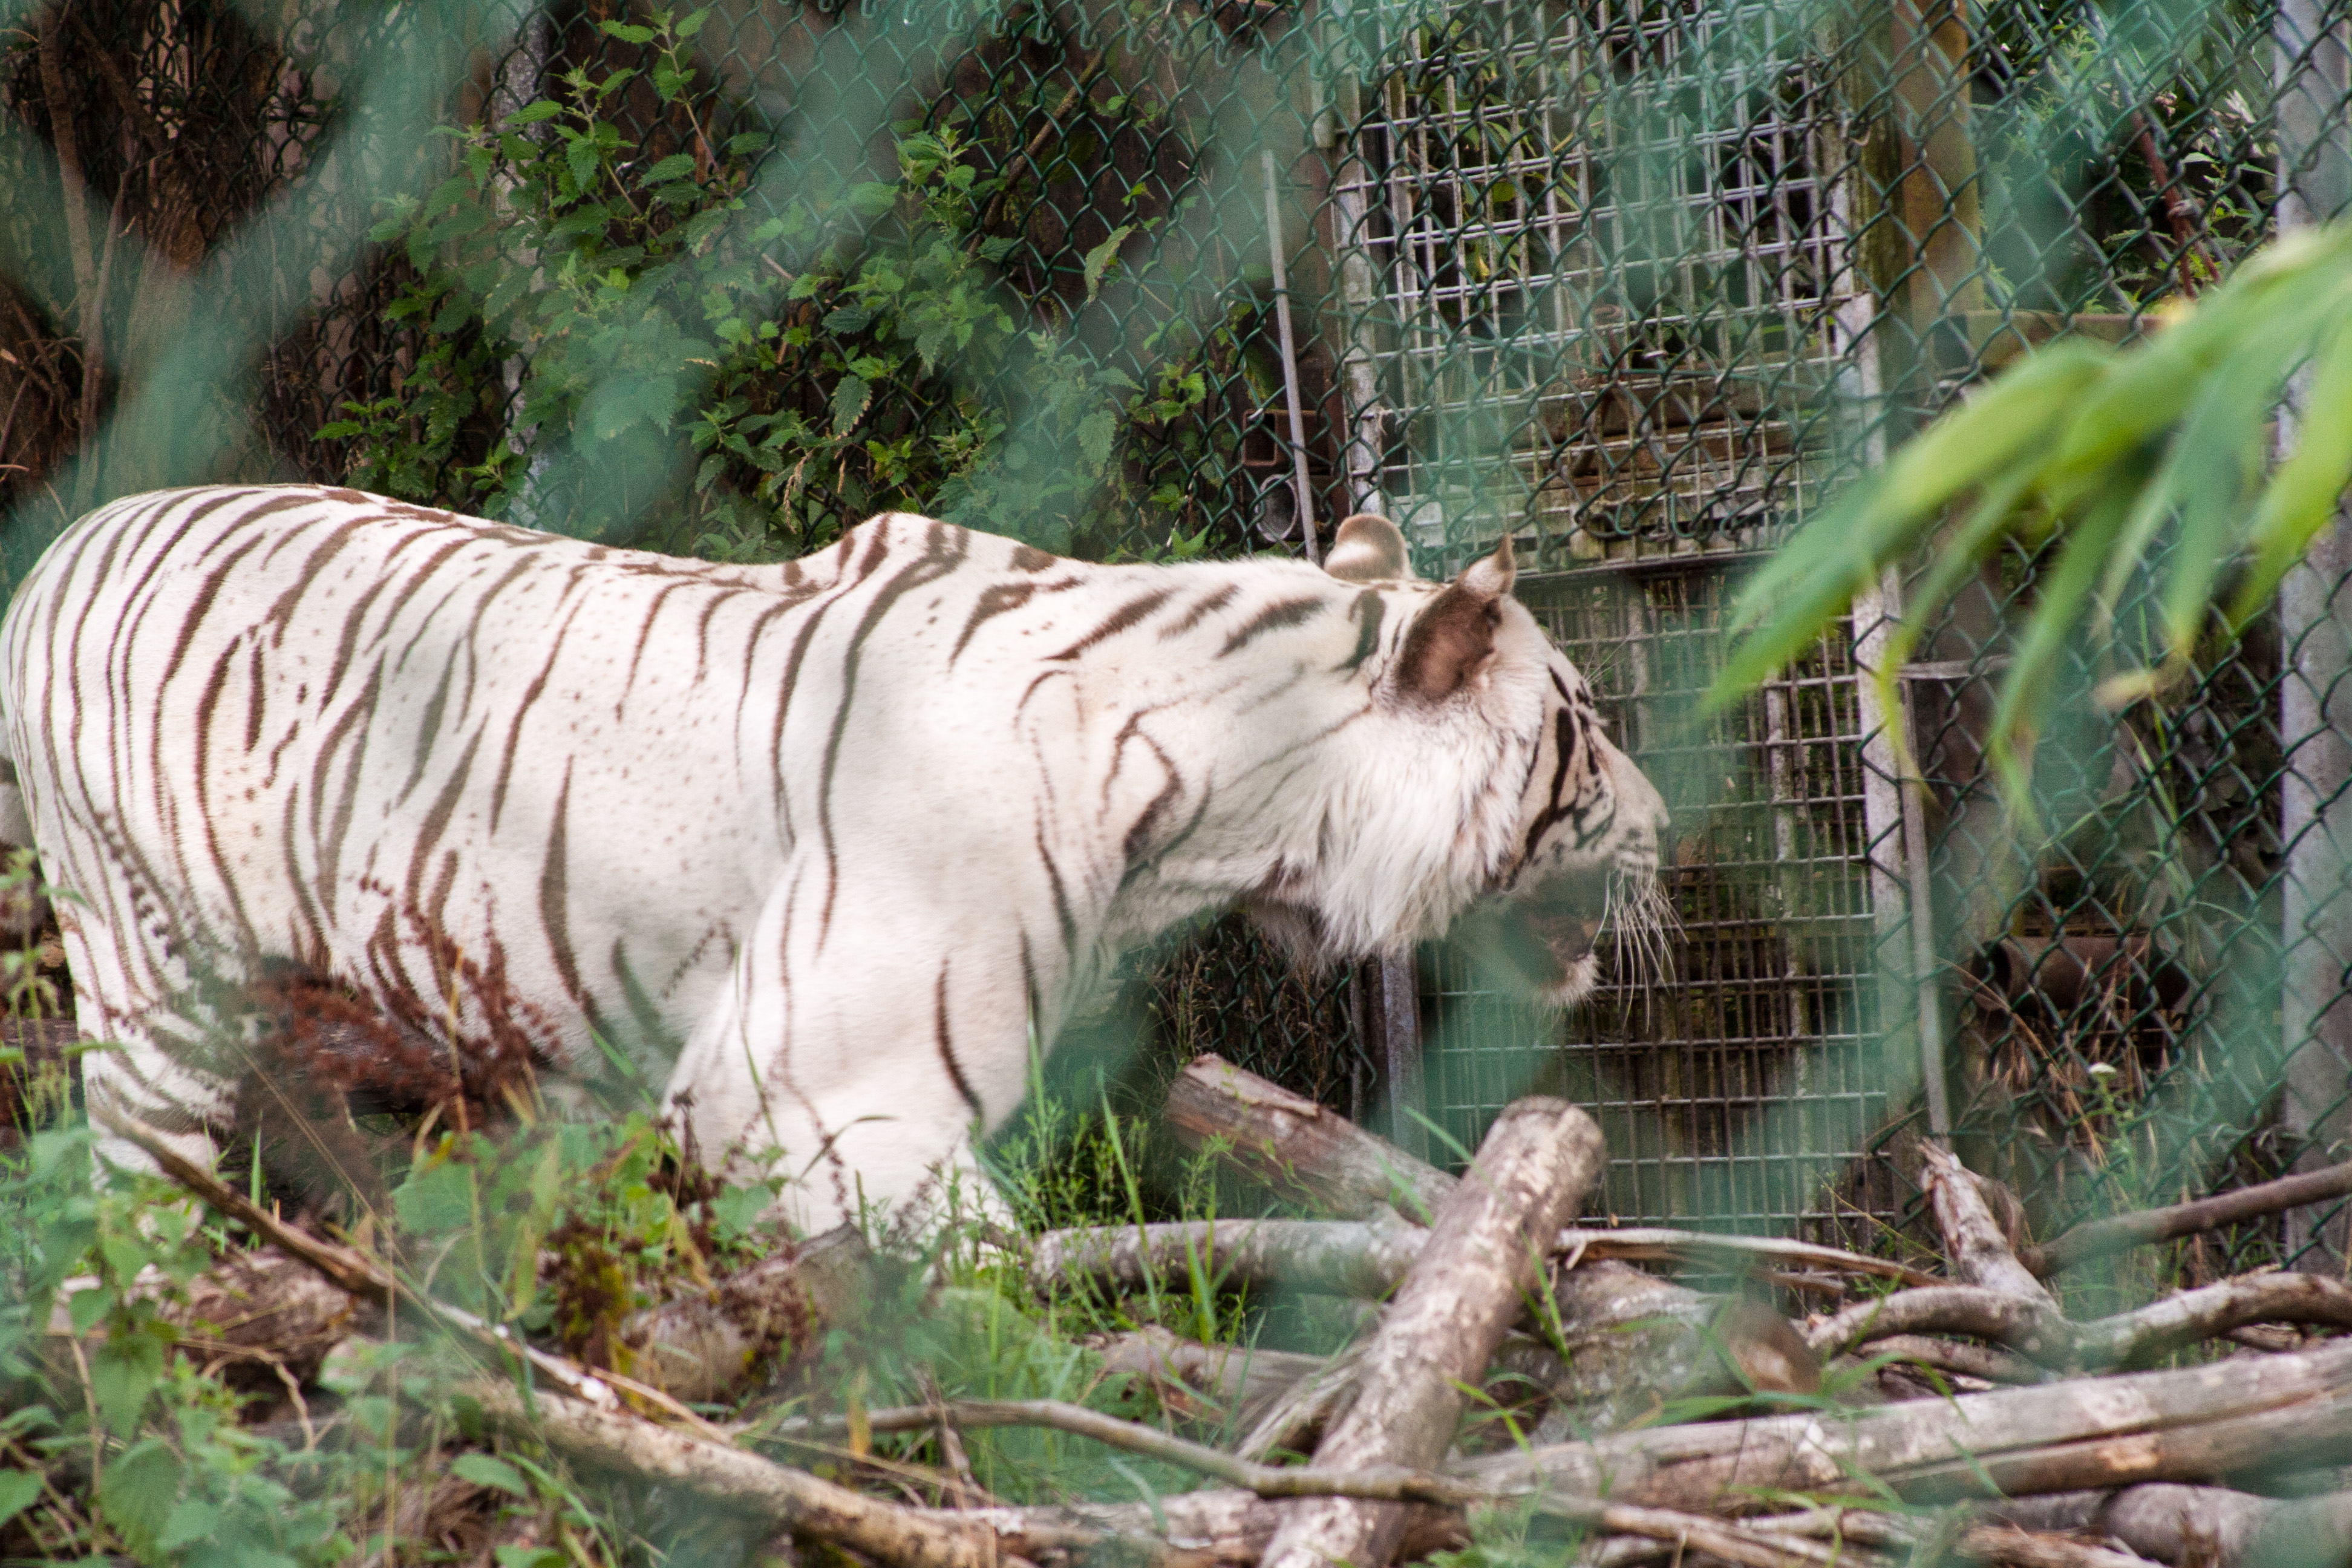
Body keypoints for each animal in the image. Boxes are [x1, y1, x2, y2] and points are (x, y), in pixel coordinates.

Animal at [0, 484, 1668, 1231]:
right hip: (150, 975)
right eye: (1586, 725)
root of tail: (73, 534)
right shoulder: (818, 1094)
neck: (1233, 809)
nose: (1670, 830)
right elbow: (993, 1294)